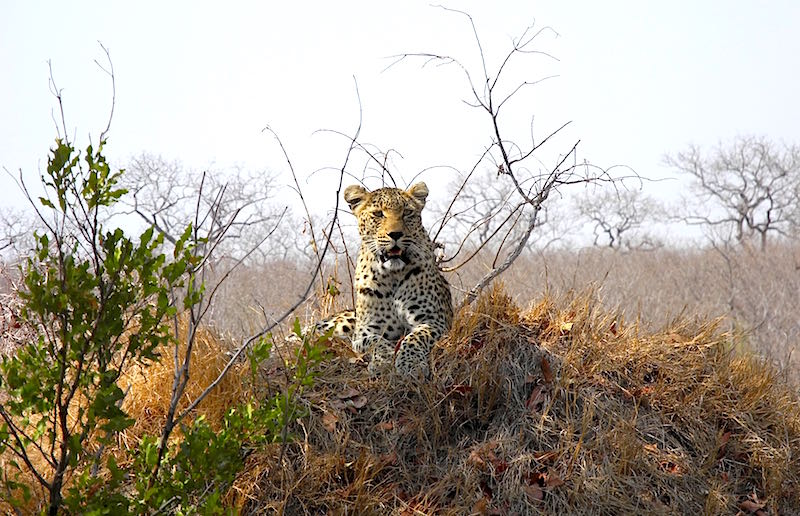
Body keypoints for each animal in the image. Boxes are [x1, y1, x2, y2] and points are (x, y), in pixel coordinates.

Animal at [316, 183, 454, 376]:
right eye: (378, 214)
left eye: (407, 212)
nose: (395, 234)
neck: (392, 275)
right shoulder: (364, 331)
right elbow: (376, 341)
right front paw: (383, 361)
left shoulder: (434, 320)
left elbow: (415, 337)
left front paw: (410, 363)